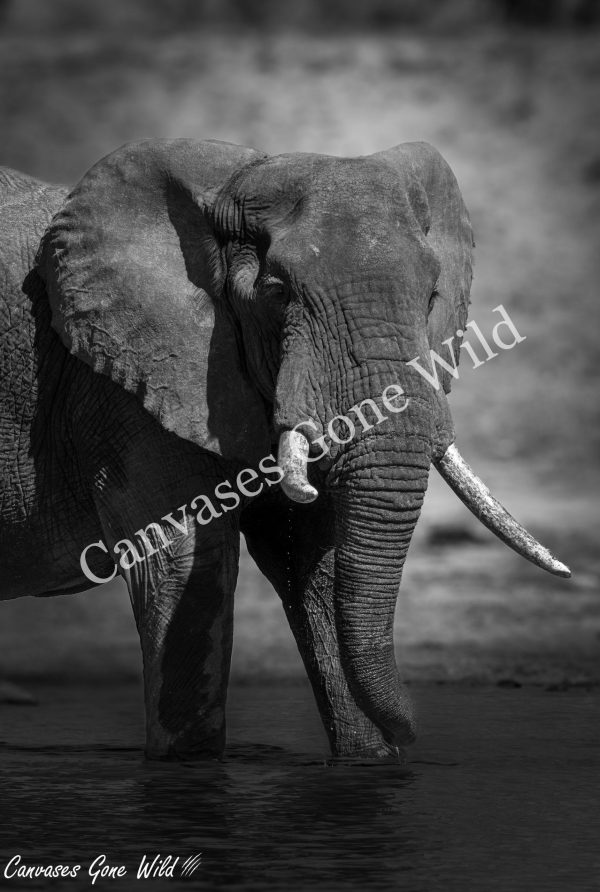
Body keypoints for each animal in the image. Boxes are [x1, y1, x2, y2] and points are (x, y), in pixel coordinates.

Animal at [0, 140, 569, 761]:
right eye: (277, 297)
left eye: (432, 298)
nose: (414, 733)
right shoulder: (122, 381)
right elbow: (185, 566)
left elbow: (311, 560)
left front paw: (370, 762)